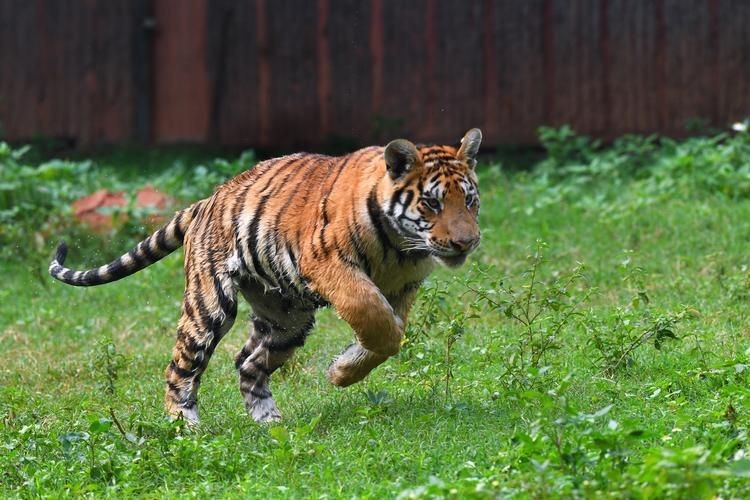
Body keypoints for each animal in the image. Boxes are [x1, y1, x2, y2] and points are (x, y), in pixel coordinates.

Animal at [49, 128, 482, 423]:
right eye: (431, 203)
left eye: (469, 200)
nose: (467, 242)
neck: (399, 247)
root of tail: (207, 200)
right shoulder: (328, 263)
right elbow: (376, 321)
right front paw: (340, 373)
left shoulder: (404, 285)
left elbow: (389, 334)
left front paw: (343, 369)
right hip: (210, 305)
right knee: (180, 367)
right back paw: (185, 427)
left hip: (287, 317)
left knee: (248, 362)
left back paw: (270, 423)